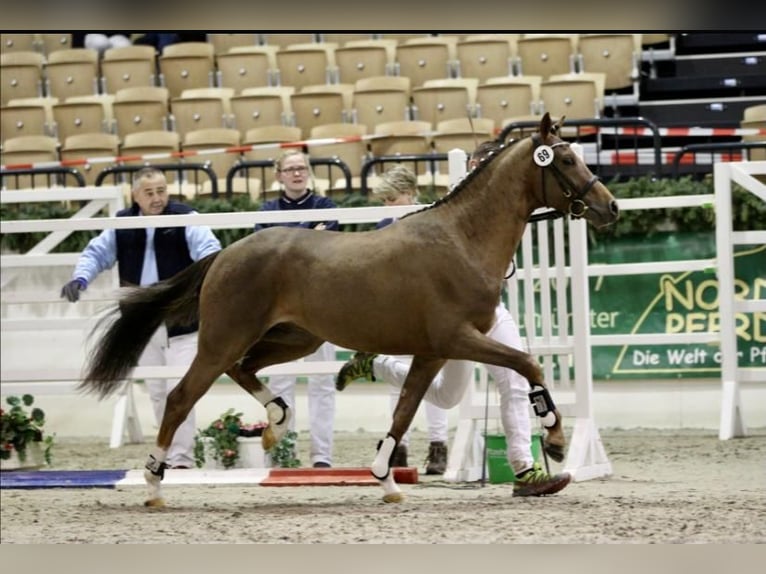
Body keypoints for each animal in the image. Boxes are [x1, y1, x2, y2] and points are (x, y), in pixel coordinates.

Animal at [79, 113, 619, 506]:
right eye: (566, 159)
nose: (610, 207)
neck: (463, 240)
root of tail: (225, 253)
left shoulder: (432, 353)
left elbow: (404, 410)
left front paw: (386, 480)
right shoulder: (457, 339)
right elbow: (528, 364)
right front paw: (554, 441)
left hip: (295, 338)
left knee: (245, 369)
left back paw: (277, 420)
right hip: (223, 339)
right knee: (180, 398)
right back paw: (154, 483)